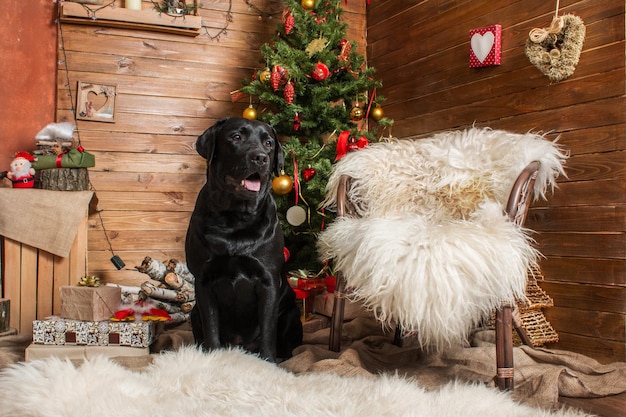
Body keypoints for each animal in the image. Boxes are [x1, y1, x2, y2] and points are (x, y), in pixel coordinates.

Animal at [184, 116, 302, 360]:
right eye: (236, 137)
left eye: (268, 143)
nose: (261, 157)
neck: (235, 218)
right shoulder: (204, 280)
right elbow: (211, 328)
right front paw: (213, 357)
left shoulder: (268, 281)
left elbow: (268, 331)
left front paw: (268, 362)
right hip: (193, 313)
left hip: (291, 313)